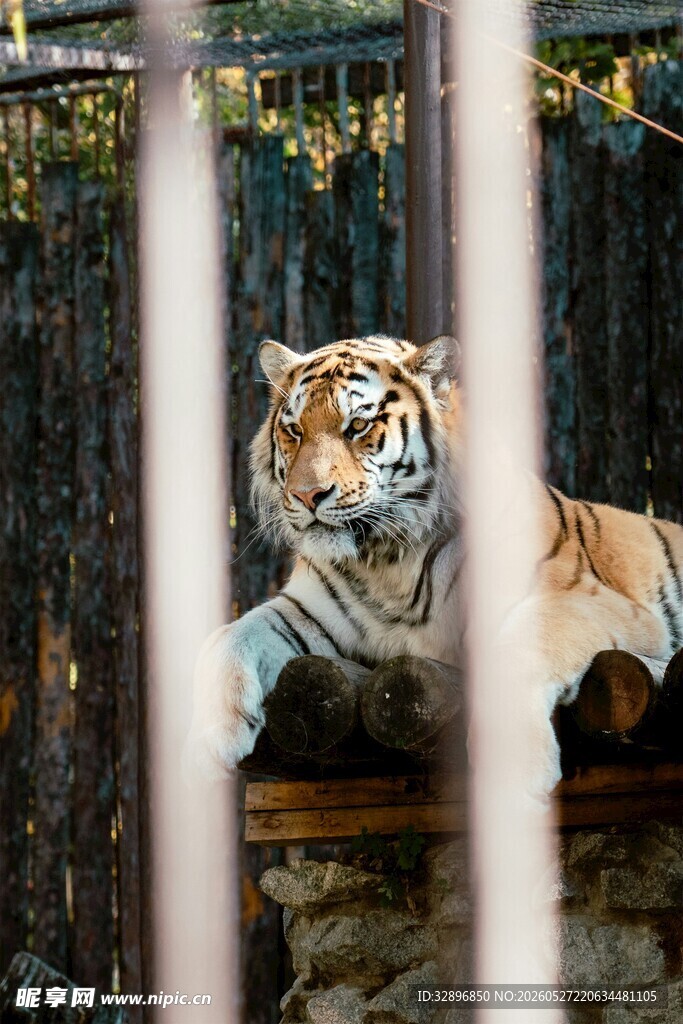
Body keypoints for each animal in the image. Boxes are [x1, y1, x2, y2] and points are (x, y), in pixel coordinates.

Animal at [186, 333, 683, 796]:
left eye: (358, 425)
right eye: (294, 431)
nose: (308, 495)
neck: (385, 561)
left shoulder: (596, 602)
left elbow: (519, 649)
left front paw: (515, 774)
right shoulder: (308, 612)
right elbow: (230, 636)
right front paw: (206, 742)